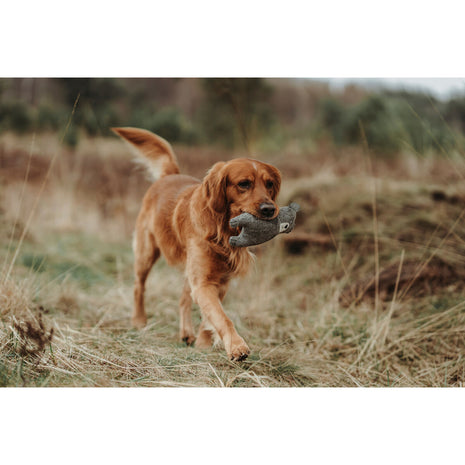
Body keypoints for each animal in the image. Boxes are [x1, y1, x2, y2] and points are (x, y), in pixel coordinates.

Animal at [112, 128, 280, 362]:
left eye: (269, 184)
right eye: (244, 184)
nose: (269, 209)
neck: (222, 230)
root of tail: (169, 175)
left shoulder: (219, 282)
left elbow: (209, 317)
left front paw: (203, 345)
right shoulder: (203, 283)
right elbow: (222, 317)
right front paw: (237, 346)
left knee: (183, 299)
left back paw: (186, 333)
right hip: (147, 252)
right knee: (139, 286)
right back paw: (138, 321)